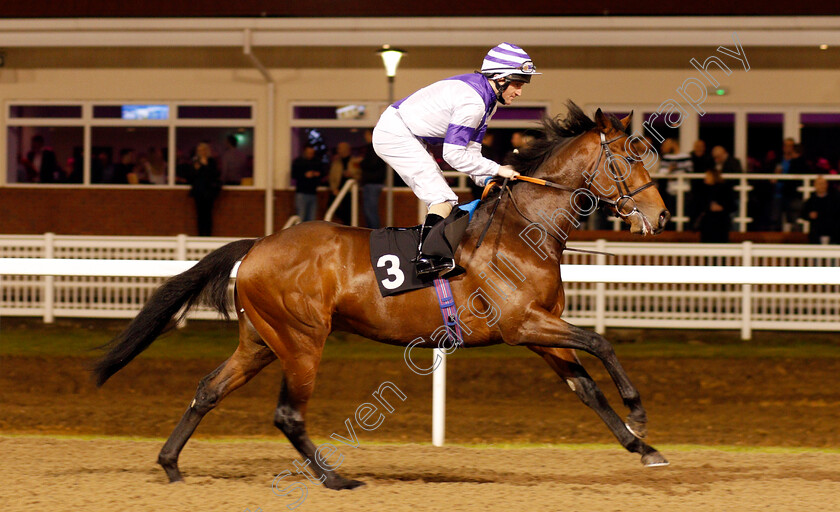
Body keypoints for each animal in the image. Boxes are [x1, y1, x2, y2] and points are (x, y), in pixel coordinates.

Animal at [90, 103, 668, 488]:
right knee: (287, 413)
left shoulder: (540, 333)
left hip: (261, 341)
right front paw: (639, 413)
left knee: (209, 389)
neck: (524, 232)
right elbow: (602, 344)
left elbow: (586, 388)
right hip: (302, 340)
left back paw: (170, 464)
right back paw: (333, 478)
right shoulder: (522, 323)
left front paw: (643, 448)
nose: (661, 216)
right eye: (627, 159)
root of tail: (258, 245)